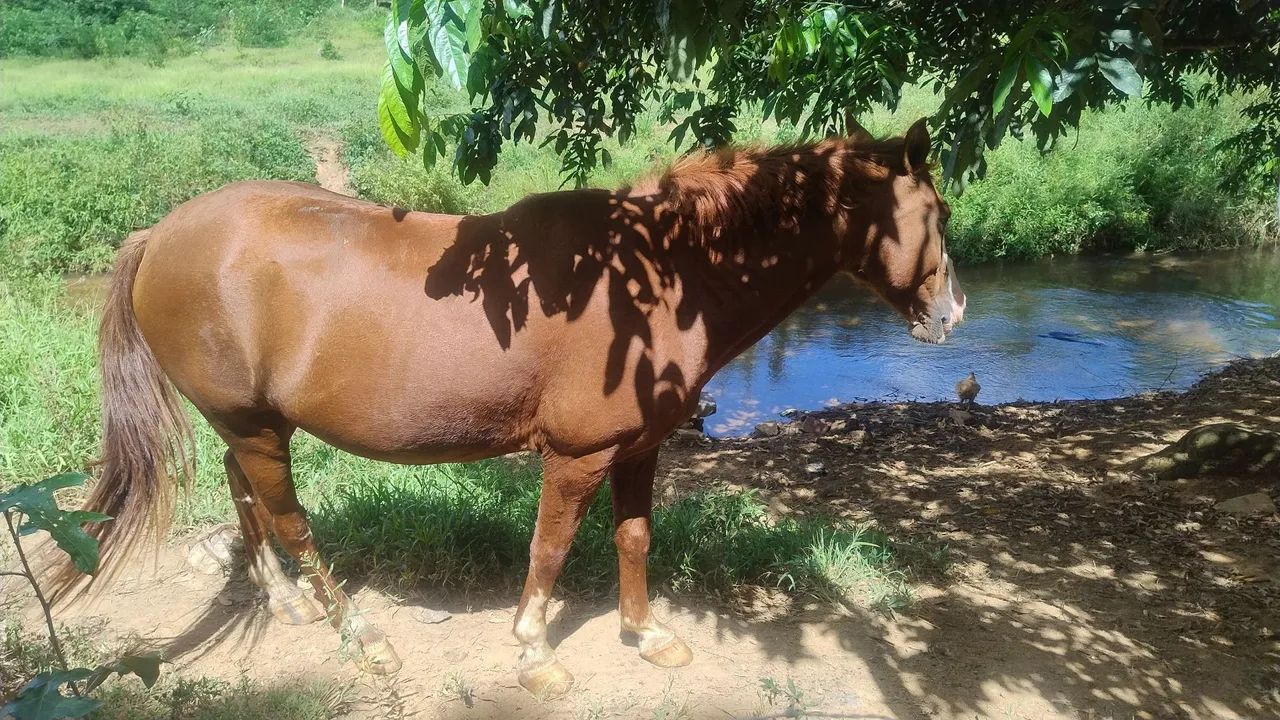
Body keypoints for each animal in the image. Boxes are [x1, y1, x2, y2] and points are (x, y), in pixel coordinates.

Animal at [62, 117, 965, 696]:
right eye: (939, 212)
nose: (953, 313)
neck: (657, 274)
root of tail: (159, 234)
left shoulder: (640, 449)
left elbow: (634, 540)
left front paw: (647, 635)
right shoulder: (576, 455)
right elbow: (550, 552)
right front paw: (534, 655)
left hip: (249, 423)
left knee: (241, 489)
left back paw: (283, 601)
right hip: (255, 427)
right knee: (288, 519)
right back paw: (359, 637)